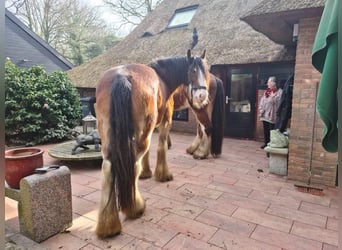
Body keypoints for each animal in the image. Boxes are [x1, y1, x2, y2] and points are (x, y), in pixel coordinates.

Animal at [95, 49, 210, 238]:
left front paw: (147, 172)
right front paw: (162, 174)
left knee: (108, 167)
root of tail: (121, 76)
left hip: (108, 134)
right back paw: (135, 207)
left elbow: (148, 153)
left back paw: (108, 224)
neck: (163, 76)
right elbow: (161, 146)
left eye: (206, 71)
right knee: (133, 164)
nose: (202, 96)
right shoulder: (165, 121)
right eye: (193, 70)